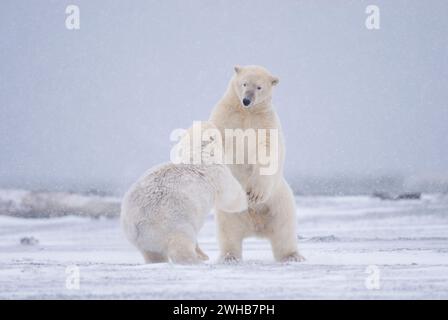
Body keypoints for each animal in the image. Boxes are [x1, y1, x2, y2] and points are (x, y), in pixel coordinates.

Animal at [121, 121, 247, 264]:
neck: (197, 155)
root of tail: (135, 225)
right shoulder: (218, 173)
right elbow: (232, 198)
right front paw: (248, 198)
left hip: (143, 240)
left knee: (152, 253)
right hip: (172, 221)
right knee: (182, 240)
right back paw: (196, 258)